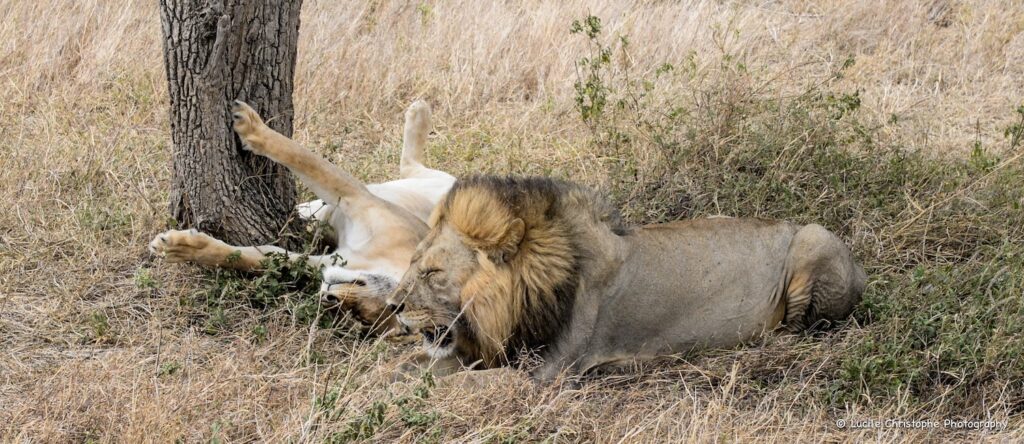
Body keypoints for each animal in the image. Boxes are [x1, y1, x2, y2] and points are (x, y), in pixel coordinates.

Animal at [150, 100, 454, 335]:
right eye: (391, 306)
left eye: (359, 318)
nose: (329, 298)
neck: (374, 259)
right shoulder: (358, 198)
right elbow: (305, 159)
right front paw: (250, 126)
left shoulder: (323, 261)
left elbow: (254, 258)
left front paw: (179, 247)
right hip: (435, 185)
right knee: (412, 166)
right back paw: (419, 112)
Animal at [386, 176, 866, 380]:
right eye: (413, 262)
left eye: (433, 273)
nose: (392, 308)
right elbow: (413, 368)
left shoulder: (549, 372)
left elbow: (453, 382)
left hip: (814, 237)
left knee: (804, 328)